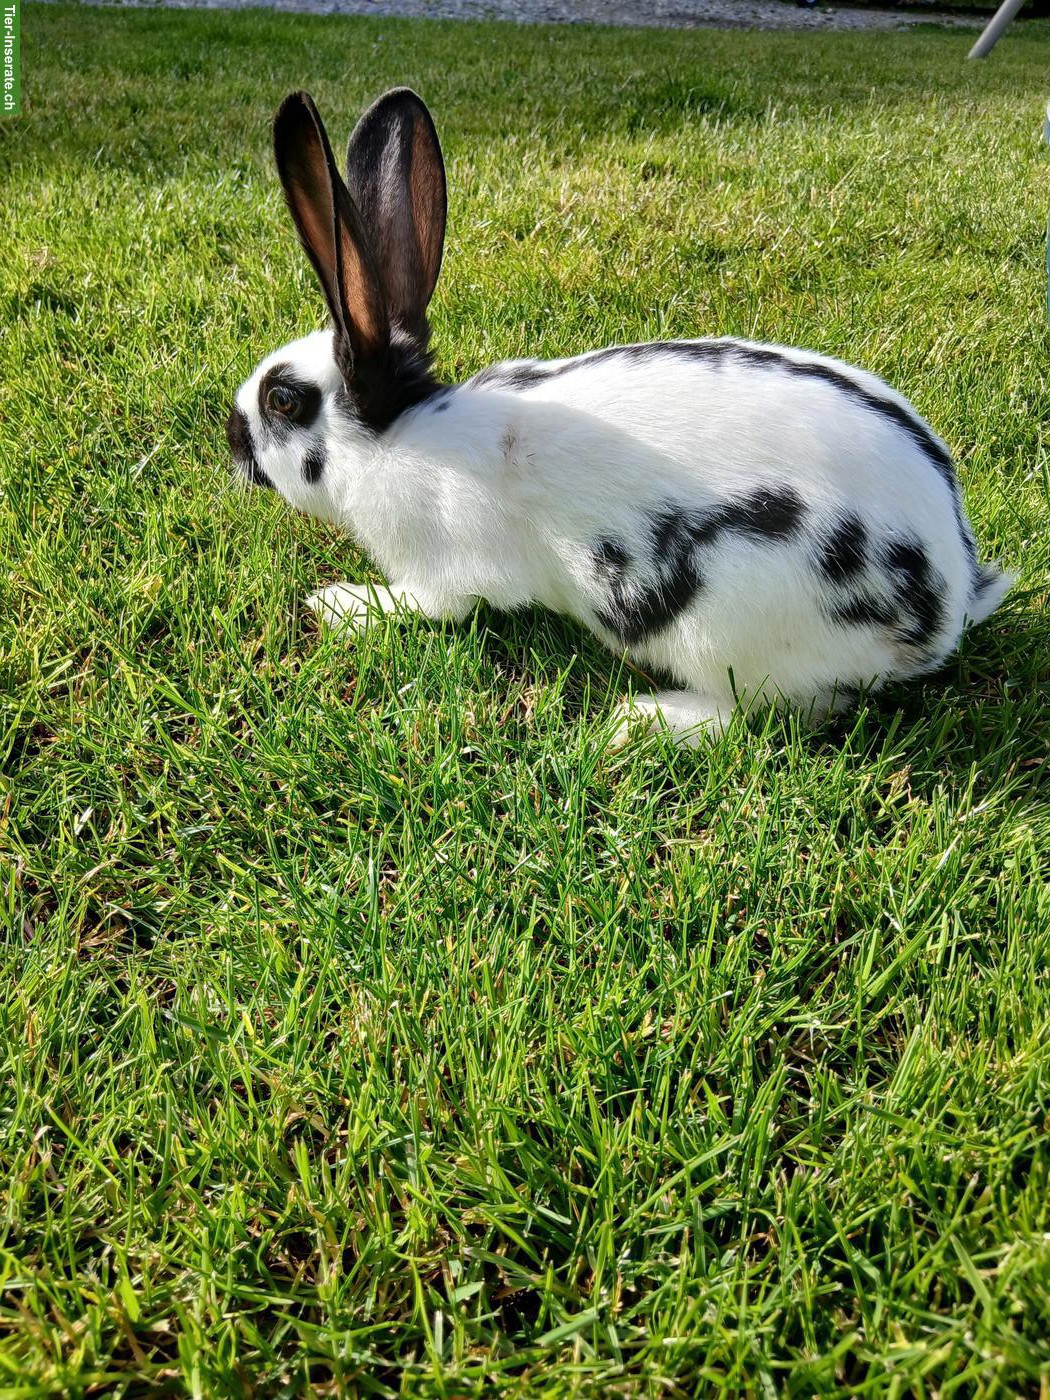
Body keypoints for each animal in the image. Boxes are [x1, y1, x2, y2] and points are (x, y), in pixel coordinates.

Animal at [226, 86, 1011, 746]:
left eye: (284, 400)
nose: (231, 439)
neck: (397, 436)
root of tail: (946, 606)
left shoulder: (444, 573)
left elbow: (429, 608)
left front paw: (338, 603)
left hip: (728, 630)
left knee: (777, 711)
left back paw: (644, 722)